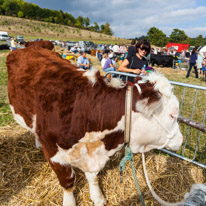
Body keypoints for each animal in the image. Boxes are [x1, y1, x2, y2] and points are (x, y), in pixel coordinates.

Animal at [6, 47, 183, 206]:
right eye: (173, 115)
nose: (181, 140)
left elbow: (93, 177)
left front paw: (97, 197)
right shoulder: (54, 154)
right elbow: (68, 181)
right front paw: (69, 202)